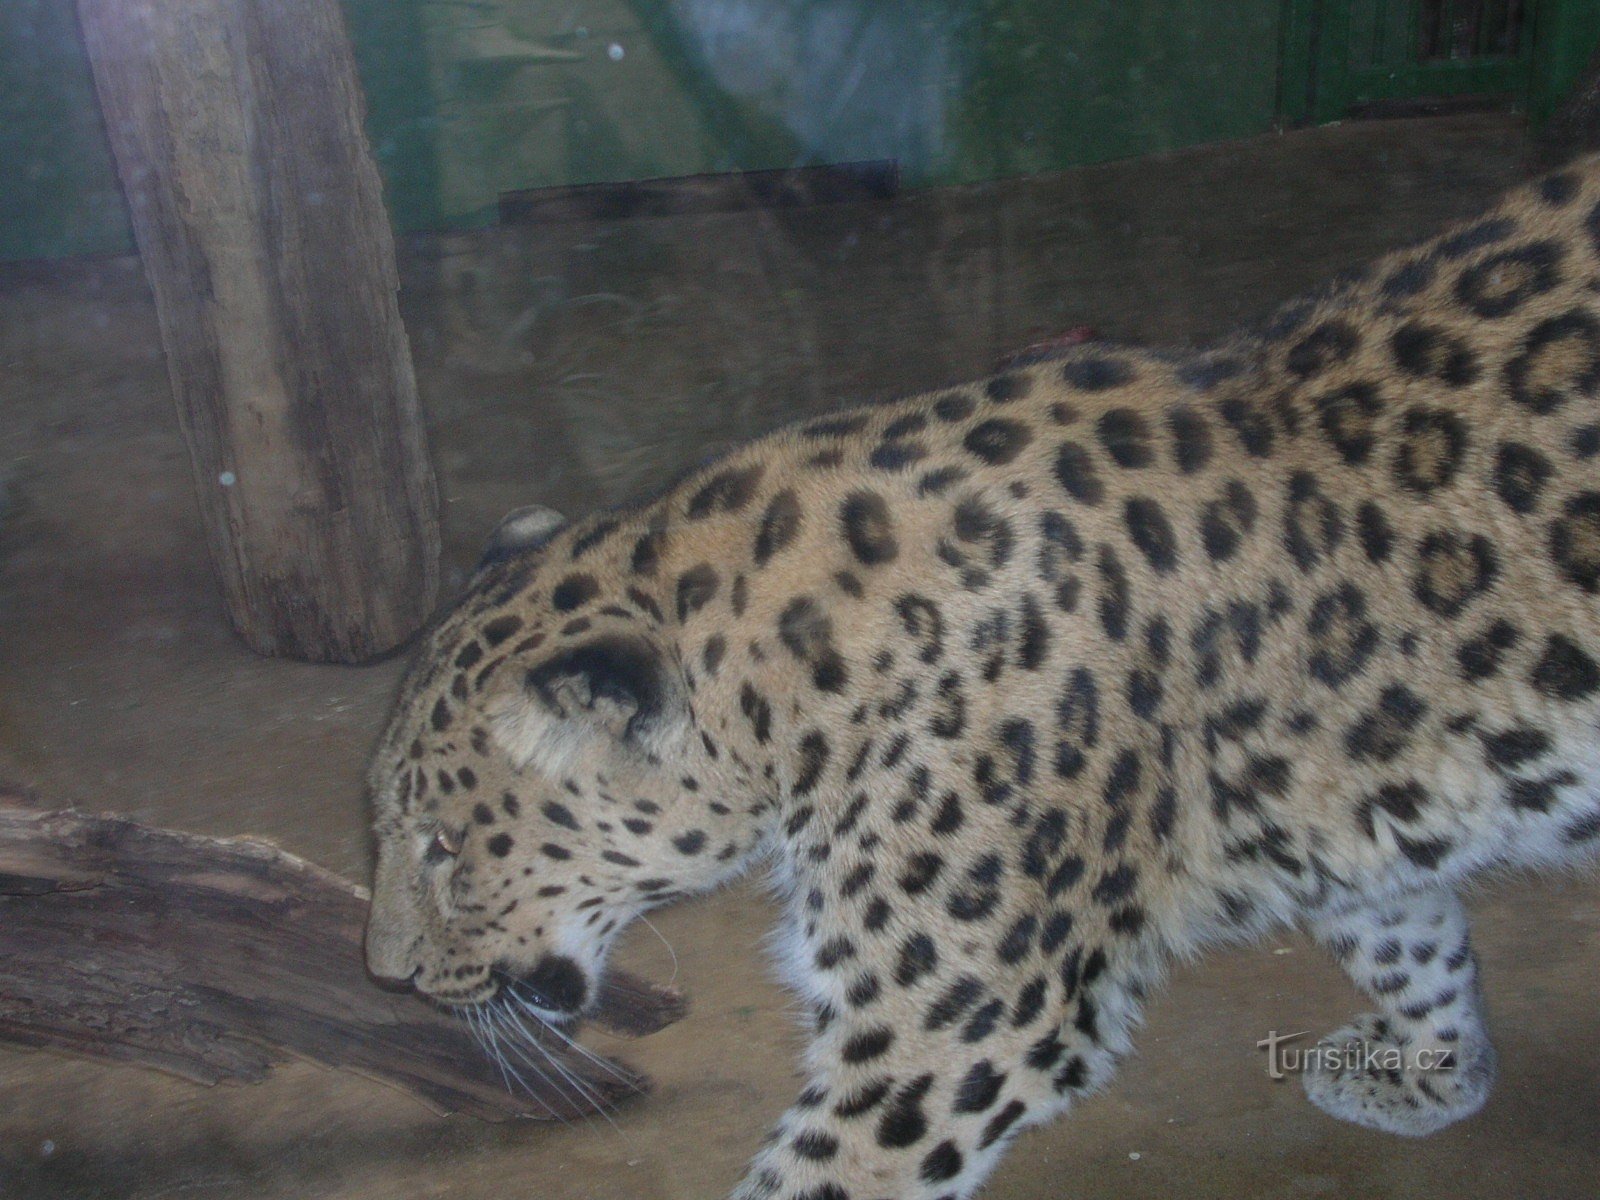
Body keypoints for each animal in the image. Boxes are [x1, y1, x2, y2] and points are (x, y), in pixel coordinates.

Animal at [363, 160, 1600, 1200]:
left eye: (444, 846)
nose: (386, 977)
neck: (783, 673)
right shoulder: (1345, 809)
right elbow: (1405, 936)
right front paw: (1433, 1071)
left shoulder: (953, 1032)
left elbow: (823, 1176)